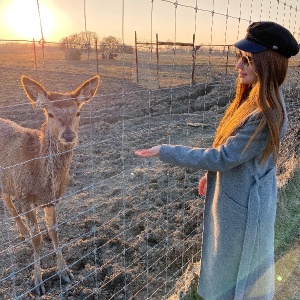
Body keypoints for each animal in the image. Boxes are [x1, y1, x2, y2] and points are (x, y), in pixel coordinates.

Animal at [0, 74, 101, 294]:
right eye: (50, 113)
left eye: (78, 111)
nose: (69, 135)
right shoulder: (24, 194)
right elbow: (37, 238)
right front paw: (37, 281)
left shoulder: (53, 198)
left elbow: (54, 231)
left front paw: (65, 272)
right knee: (8, 203)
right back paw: (24, 232)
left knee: (6, 198)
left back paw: (22, 232)